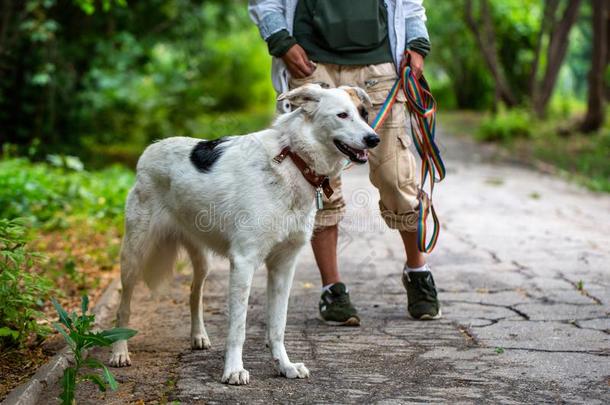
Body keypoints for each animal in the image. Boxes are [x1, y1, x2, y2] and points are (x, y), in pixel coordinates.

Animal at [107, 83, 378, 384]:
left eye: (364, 114)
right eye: (342, 115)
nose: (374, 139)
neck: (293, 161)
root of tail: (151, 149)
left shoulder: (284, 266)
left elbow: (278, 325)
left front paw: (284, 366)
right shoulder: (244, 262)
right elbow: (238, 328)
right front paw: (234, 370)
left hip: (202, 260)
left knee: (194, 293)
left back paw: (198, 336)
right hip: (134, 255)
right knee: (124, 305)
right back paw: (119, 351)